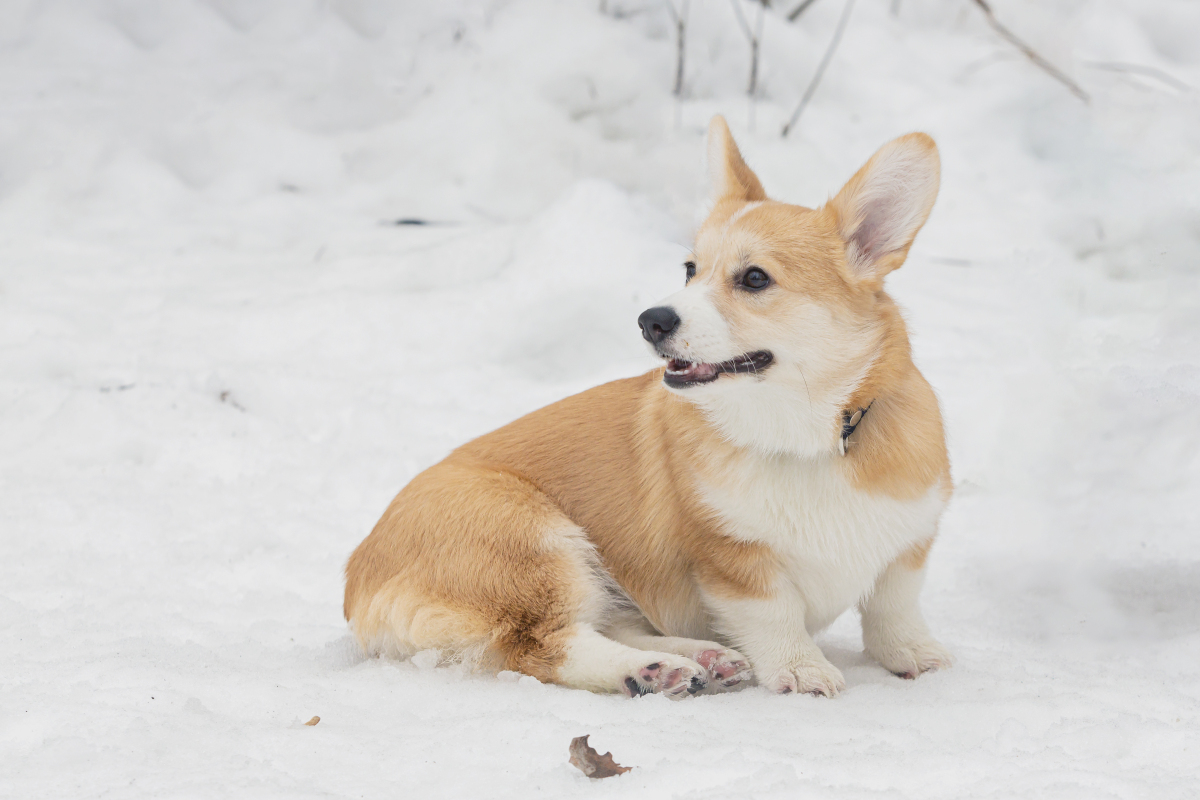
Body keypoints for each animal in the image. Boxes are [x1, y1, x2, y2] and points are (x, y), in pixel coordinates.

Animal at [343, 115, 950, 695]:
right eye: (689, 270)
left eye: (755, 278)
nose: (650, 320)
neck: (805, 437)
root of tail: (357, 577)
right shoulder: (734, 562)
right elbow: (775, 617)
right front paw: (801, 669)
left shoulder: (910, 544)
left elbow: (893, 606)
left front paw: (914, 655)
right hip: (536, 545)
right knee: (544, 643)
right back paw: (650, 671)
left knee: (607, 623)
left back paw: (701, 659)